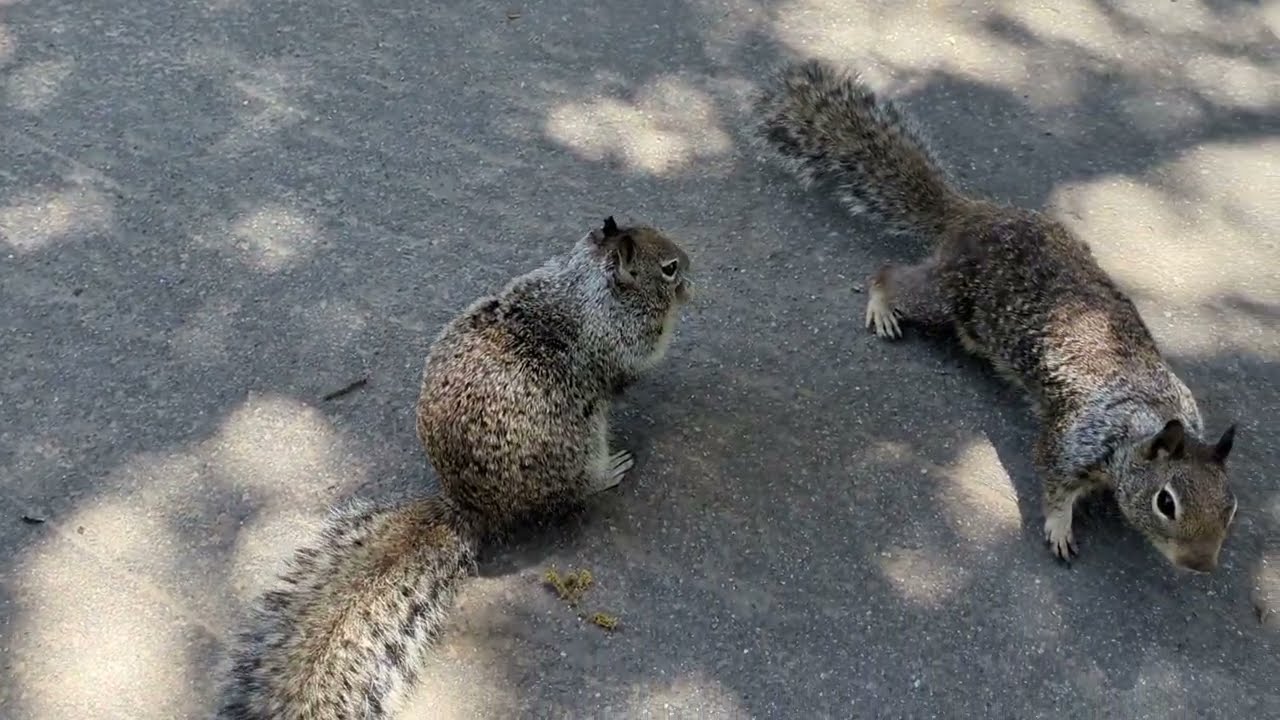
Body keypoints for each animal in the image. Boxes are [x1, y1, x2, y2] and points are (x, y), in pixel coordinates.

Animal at [216, 217, 692, 719]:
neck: (585, 282)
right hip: (580, 442)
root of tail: (470, 507)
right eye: (668, 267)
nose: (692, 272)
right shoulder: (620, 339)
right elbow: (640, 358)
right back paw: (608, 472)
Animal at [754, 59, 1239, 572]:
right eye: (1166, 502)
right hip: (946, 299)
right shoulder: (1074, 439)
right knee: (889, 276)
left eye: (1230, 508)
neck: (1147, 417)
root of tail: (972, 215)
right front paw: (1060, 527)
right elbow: (1052, 479)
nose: (1201, 564)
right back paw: (882, 306)